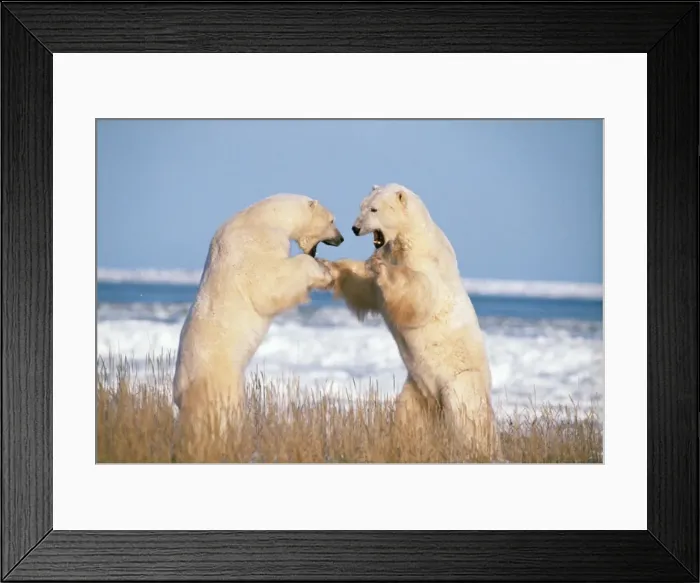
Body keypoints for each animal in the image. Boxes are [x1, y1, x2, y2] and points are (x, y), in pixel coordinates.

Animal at [171, 193, 343, 441]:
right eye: (332, 220)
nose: (341, 238)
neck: (265, 217)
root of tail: (181, 394)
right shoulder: (258, 244)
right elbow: (271, 283)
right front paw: (324, 272)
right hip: (220, 379)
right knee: (221, 414)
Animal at [320, 183, 502, 461]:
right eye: (362, 206)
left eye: (374, 209)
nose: (355, 228)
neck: (409, 239)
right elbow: (365, 287)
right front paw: (330, 265)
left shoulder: (429, 265)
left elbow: (417, 291)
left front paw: (382, 268)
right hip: (416, 388)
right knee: (408, 418)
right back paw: (404, 445)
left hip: (460, 381)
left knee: (466, 418)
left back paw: (479, 450)